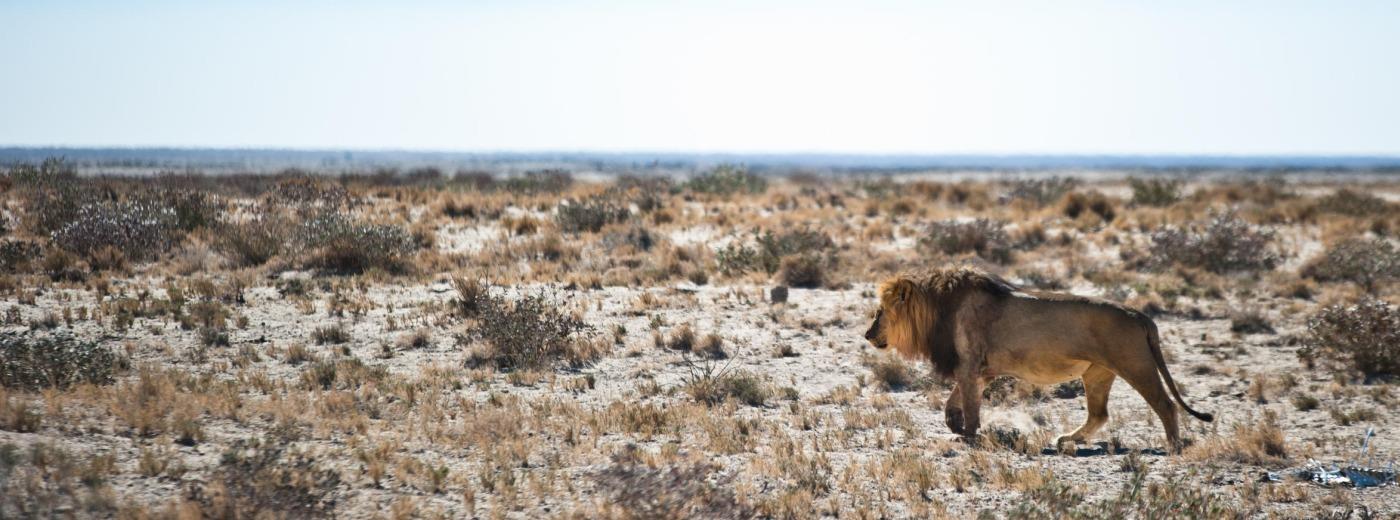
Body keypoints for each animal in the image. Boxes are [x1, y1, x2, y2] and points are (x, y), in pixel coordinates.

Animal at [856, 266, 1209, 451]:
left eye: (880, 311)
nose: (868, 334)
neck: (935, 311)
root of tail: (1140, 314)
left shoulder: (969, 366)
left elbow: (969, 405)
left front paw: (967, 436)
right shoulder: (979, 371)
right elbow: (954, 400)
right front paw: (954, 423)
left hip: (1135, 364)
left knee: (1165, 405)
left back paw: (1173, 446)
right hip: (1097, 372)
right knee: (1099, 415)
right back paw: (1067, 439)